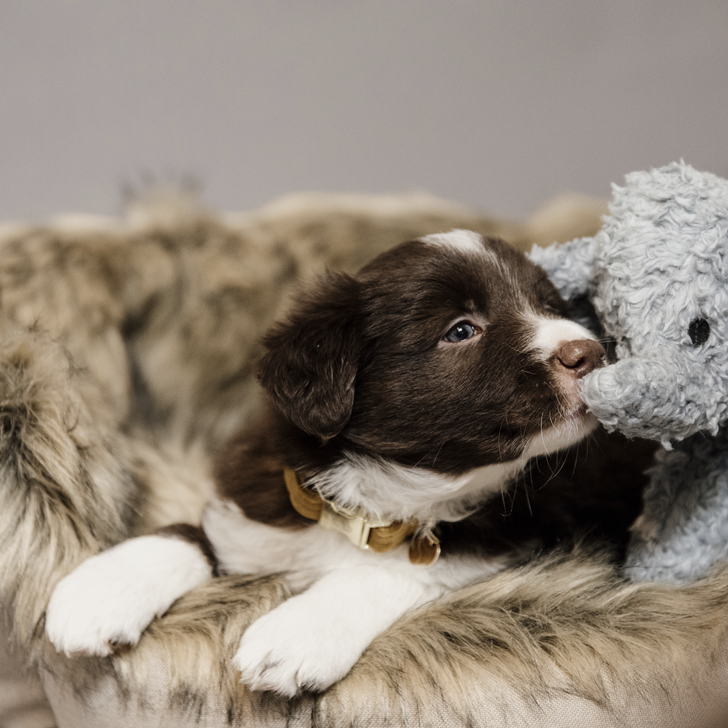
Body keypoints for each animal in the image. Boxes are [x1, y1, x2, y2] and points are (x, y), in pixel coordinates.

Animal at [44, 230, 604, 696]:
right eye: (461, 330)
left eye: (551, 306)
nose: (591, 352)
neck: (378, 501)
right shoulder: (257, 514)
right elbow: (192, 534)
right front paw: (103, 589)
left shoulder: (510, 545)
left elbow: (391, 572)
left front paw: (298, 632)